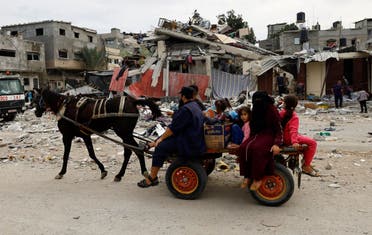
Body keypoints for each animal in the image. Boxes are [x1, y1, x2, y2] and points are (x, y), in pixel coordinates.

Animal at [34, 88, 162, 182]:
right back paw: (120, 174)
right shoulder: (85, 135)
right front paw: (103, 170)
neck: (63, 106)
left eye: (37, 99)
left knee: (137, 150)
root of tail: (132, 101)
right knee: (129, 151)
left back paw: (144, 172)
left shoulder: (67, 136)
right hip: (126, 133)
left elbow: (66, 155)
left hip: (124, 133)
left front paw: (61, 172)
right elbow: (91, 153)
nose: (36, 112)